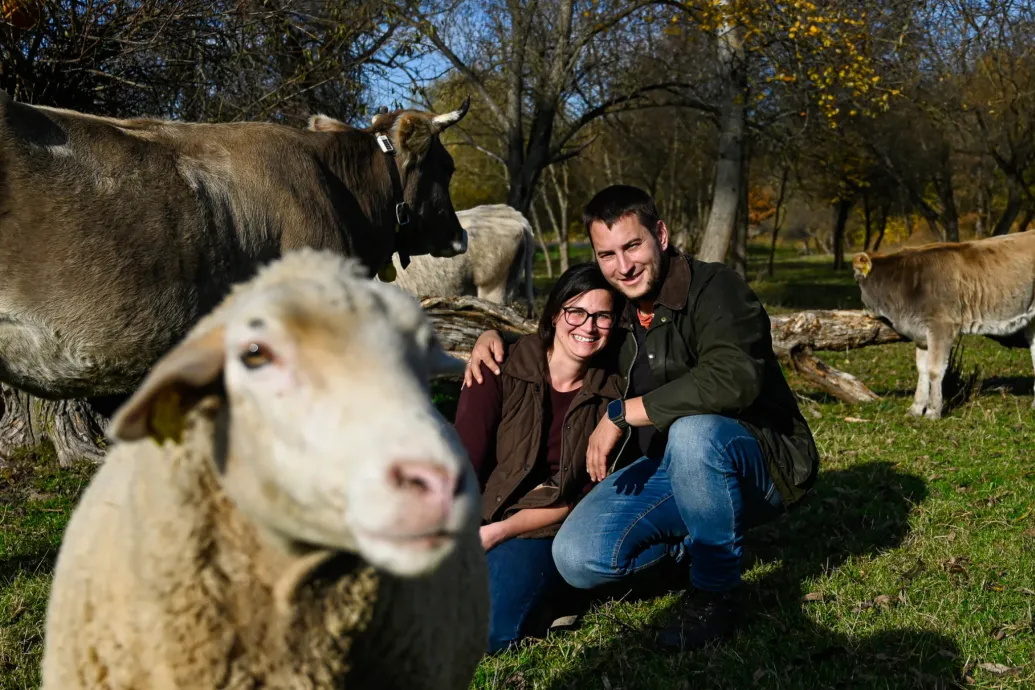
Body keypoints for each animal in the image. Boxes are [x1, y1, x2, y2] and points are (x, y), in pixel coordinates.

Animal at [848, 231, 1035, 417]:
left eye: (857, 281)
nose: (863, 309)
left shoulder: (941, 326)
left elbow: (934, 369)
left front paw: (933, 410)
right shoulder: (921, 333)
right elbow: (922, 369)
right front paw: (916, 408)